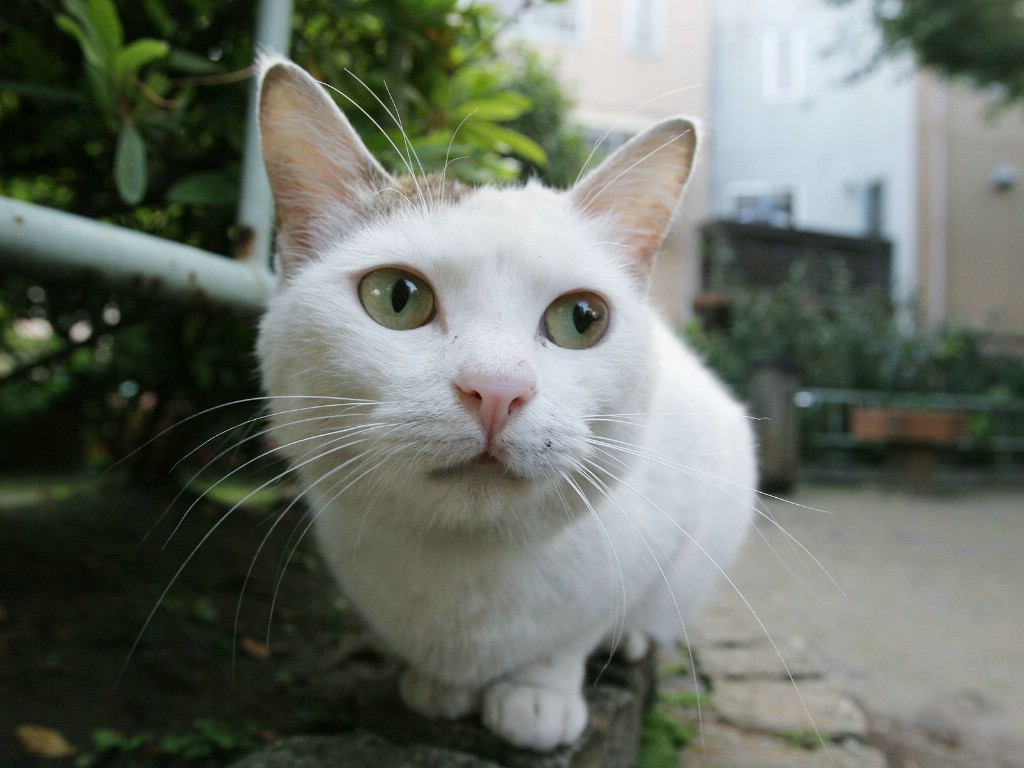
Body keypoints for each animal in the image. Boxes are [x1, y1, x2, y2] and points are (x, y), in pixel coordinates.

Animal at [252, 58, 757, 753]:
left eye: (581, 318)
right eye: (397, 296)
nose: (496, 389)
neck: (468, 562)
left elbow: (573, 635)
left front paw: (537, 695)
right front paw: (437, 686)